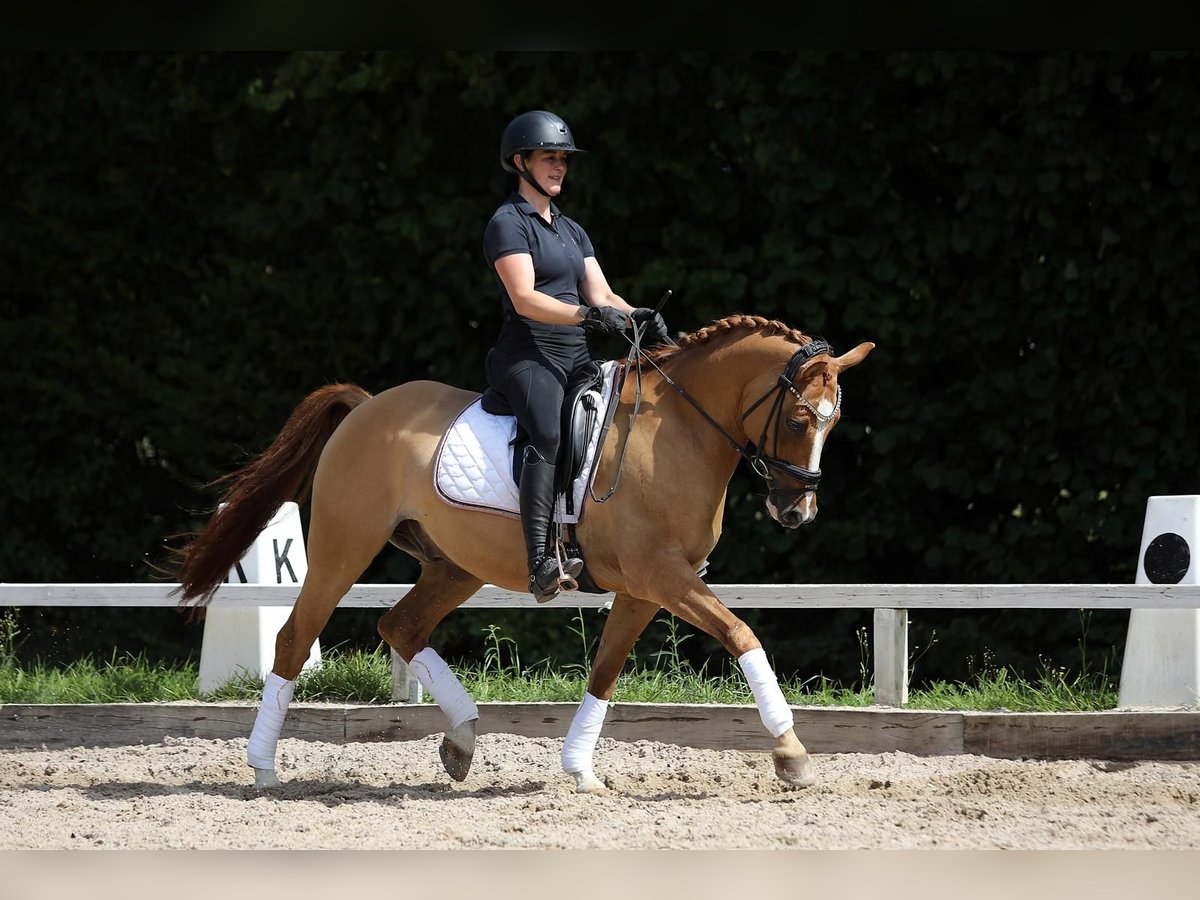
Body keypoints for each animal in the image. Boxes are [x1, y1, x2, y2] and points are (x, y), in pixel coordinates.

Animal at [174, 316, 873, 796]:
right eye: (799, 420)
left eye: (834, 424)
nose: (796, 511)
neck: (676, 430)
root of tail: (367, 407)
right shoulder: (664, 577)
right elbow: (742, 632)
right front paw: (791, 754)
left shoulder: (644, 588)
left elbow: (605, 672)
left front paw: (580, 770)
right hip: (343, 549)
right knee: (296, 638)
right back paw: (263, 769)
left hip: (454, 565)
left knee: (400, 626)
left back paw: (461, 741)